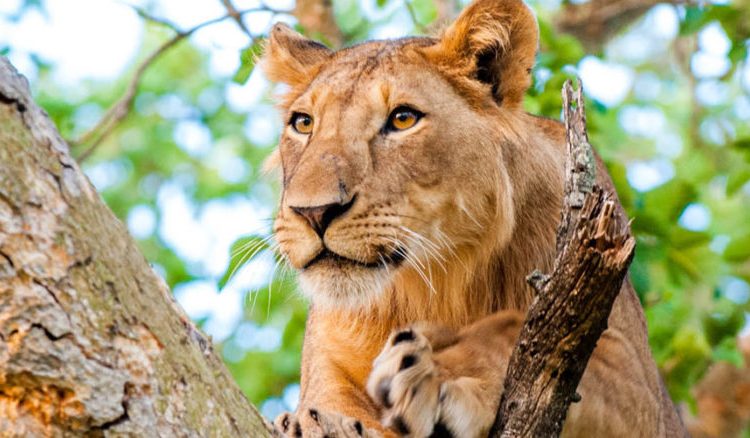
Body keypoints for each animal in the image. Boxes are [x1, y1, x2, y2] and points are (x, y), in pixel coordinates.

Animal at [261, 0, 686, 436]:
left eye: (402, 119)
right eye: (303, 123)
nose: (313, 212)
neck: (436, 281)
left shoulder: (639, 384)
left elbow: (511, 329)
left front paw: (434, 373)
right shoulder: (326, 372)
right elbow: (325, 408)